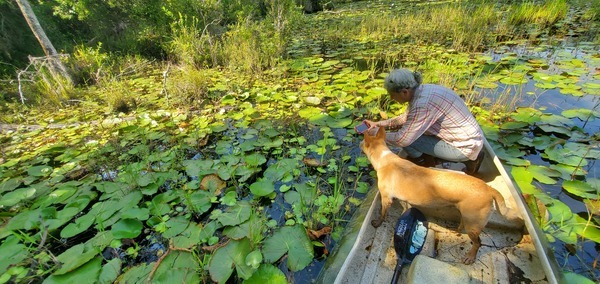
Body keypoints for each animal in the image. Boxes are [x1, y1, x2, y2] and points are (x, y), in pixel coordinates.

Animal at [360, 126, 506, 264]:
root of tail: (489, 189)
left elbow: (382, 214)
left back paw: (470, 257)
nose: (360, 141)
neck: (383, 158)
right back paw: (455, 230)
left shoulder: (386, 199)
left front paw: (377, 223)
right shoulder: (404, 200)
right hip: (466, 215)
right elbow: (406, 209)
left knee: (478, 243)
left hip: (473, 223)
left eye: (362, 141)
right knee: (462, 225)